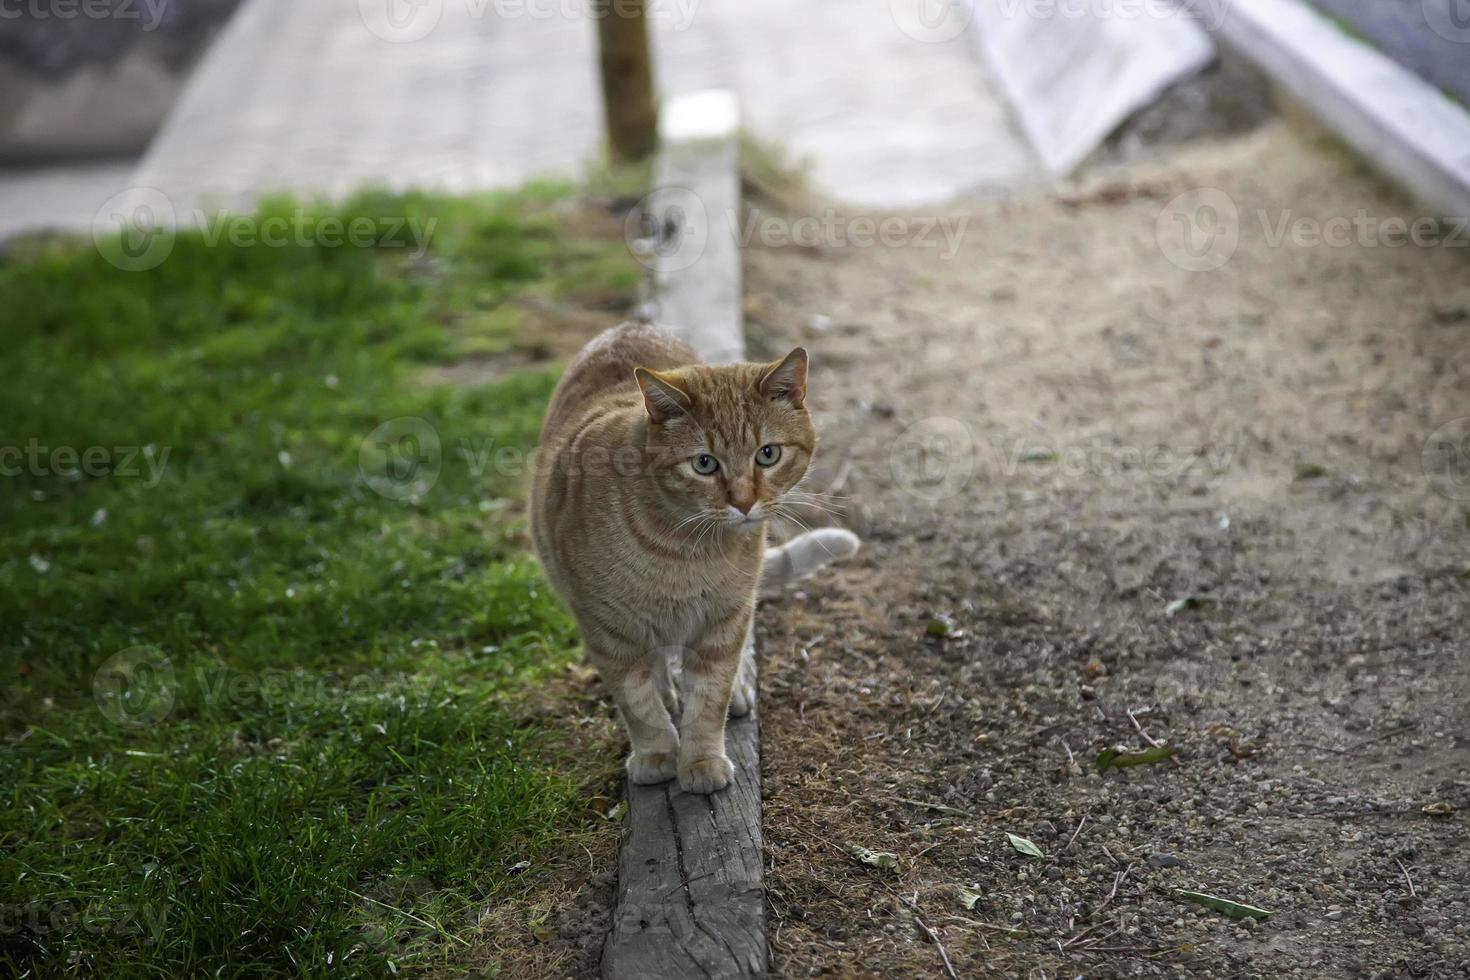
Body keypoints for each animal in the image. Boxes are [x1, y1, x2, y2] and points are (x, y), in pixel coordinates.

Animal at [529, 326, 858, 793]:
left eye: (768, 454)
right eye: (704, 464)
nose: (744, 503)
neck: (685, 550)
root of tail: (627, 326)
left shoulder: (724, 622)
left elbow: (708, 700)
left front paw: (701, 760)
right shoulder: (609, 631)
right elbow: (638, 703)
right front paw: (656, 754)